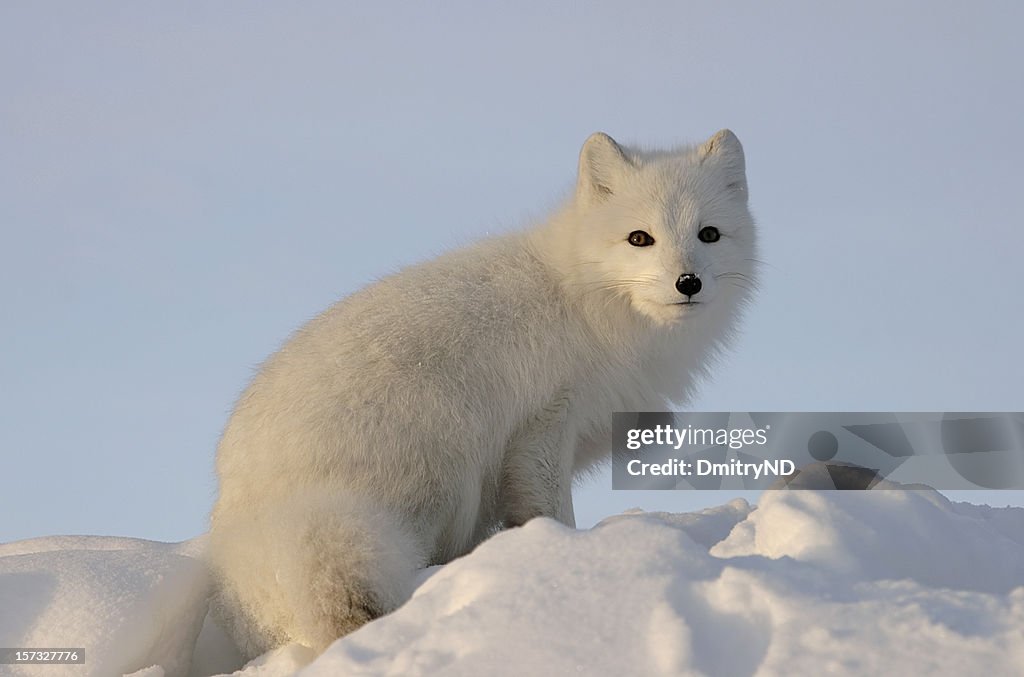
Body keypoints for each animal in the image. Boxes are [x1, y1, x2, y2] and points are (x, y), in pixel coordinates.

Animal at [205, 128, 761, 655]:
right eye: (640, 238)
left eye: (709, 234)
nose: (688, 282)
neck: (583, 303)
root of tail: (243, 526)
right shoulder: (542, 426)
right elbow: (551, 512)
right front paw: (568, 558)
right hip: (443, 467)